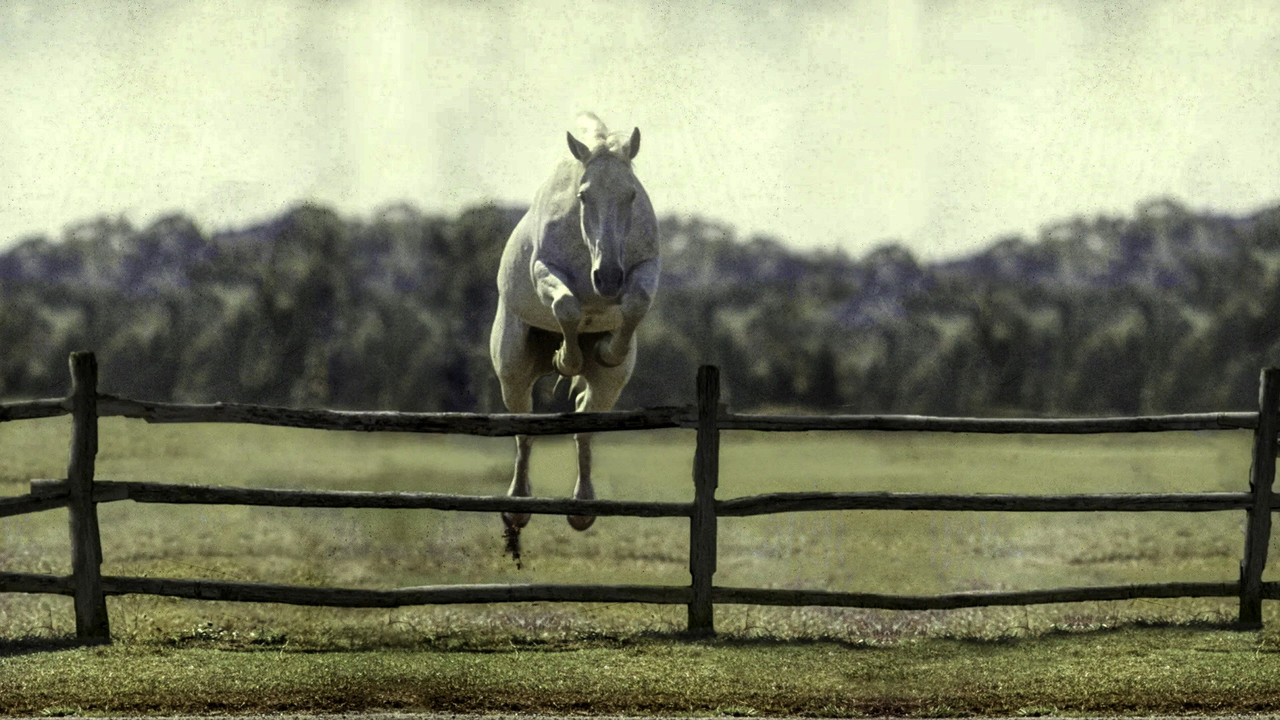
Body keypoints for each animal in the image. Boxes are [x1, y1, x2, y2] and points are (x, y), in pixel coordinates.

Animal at [489, 113, 659, 564]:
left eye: (631, 194)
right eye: (584, 196)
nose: (609, 278)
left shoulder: (646, 270)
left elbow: (636, 303)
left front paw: (605, 349)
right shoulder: (545, 271)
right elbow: (566, 305)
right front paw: (567, 358)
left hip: (608, 390)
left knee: (585, 425)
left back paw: (582, 509)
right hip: (513, 374)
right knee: (524, 431)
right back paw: (517, 508)